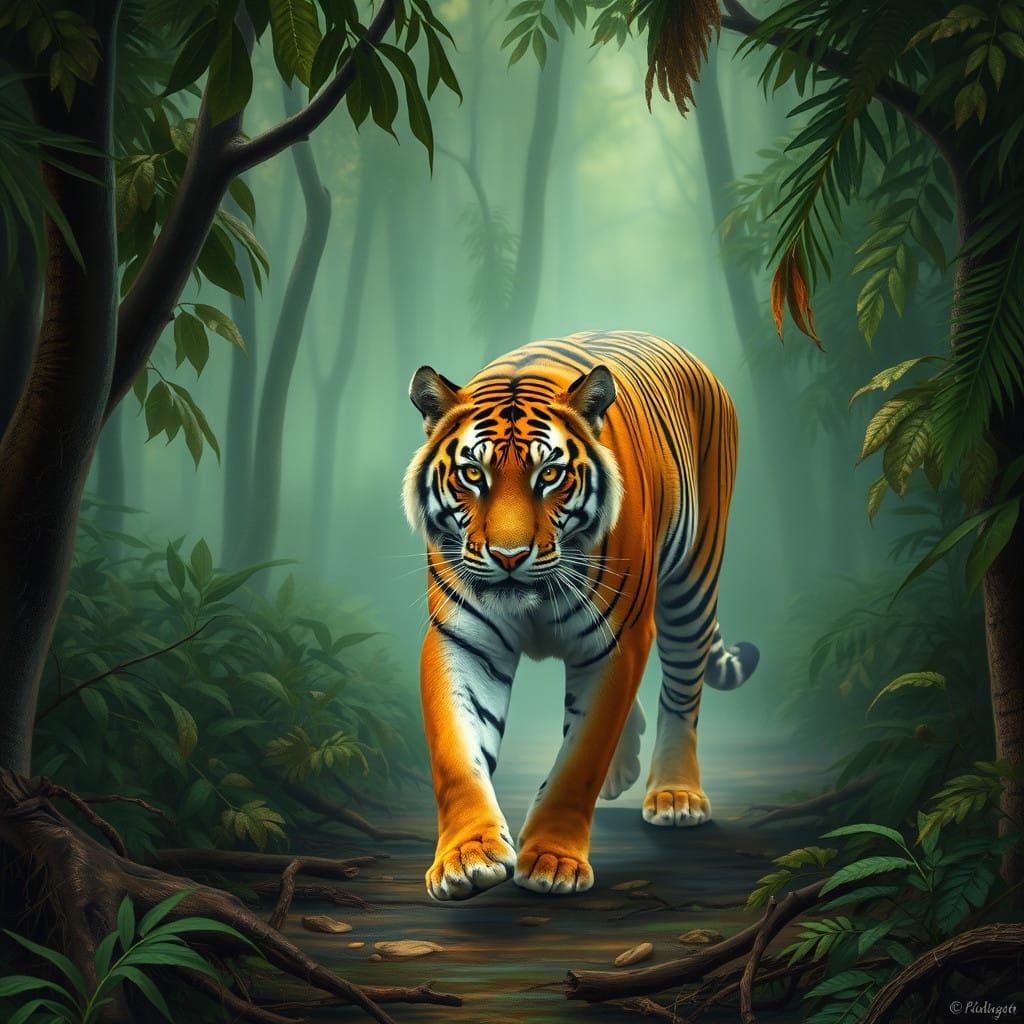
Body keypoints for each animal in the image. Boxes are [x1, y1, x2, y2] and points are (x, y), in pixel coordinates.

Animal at [403, 330, 759, 900]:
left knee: (683, 691)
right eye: (473, 474)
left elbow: (581, 757)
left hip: (694, 579)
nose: (508, 556)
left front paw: (553, 861)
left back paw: (676, 795)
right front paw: (467, 857)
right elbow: (456, 752)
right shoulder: (462, 639)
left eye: (549, 474)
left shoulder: (620, 639)